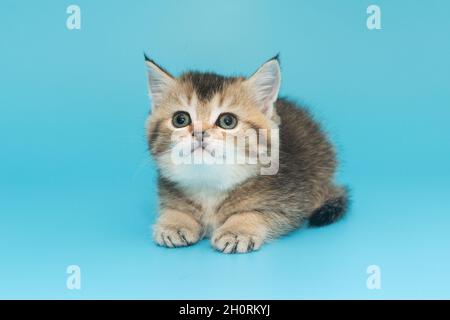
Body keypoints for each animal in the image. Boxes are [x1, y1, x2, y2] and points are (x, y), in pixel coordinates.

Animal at [144, 55, 348, 255]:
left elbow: (256, 212)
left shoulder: (291, 202)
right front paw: (174, 223)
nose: (200, 133)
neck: (210, 184)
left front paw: (237, 231)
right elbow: (175, 208)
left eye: (227, 121)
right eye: (180, 119)